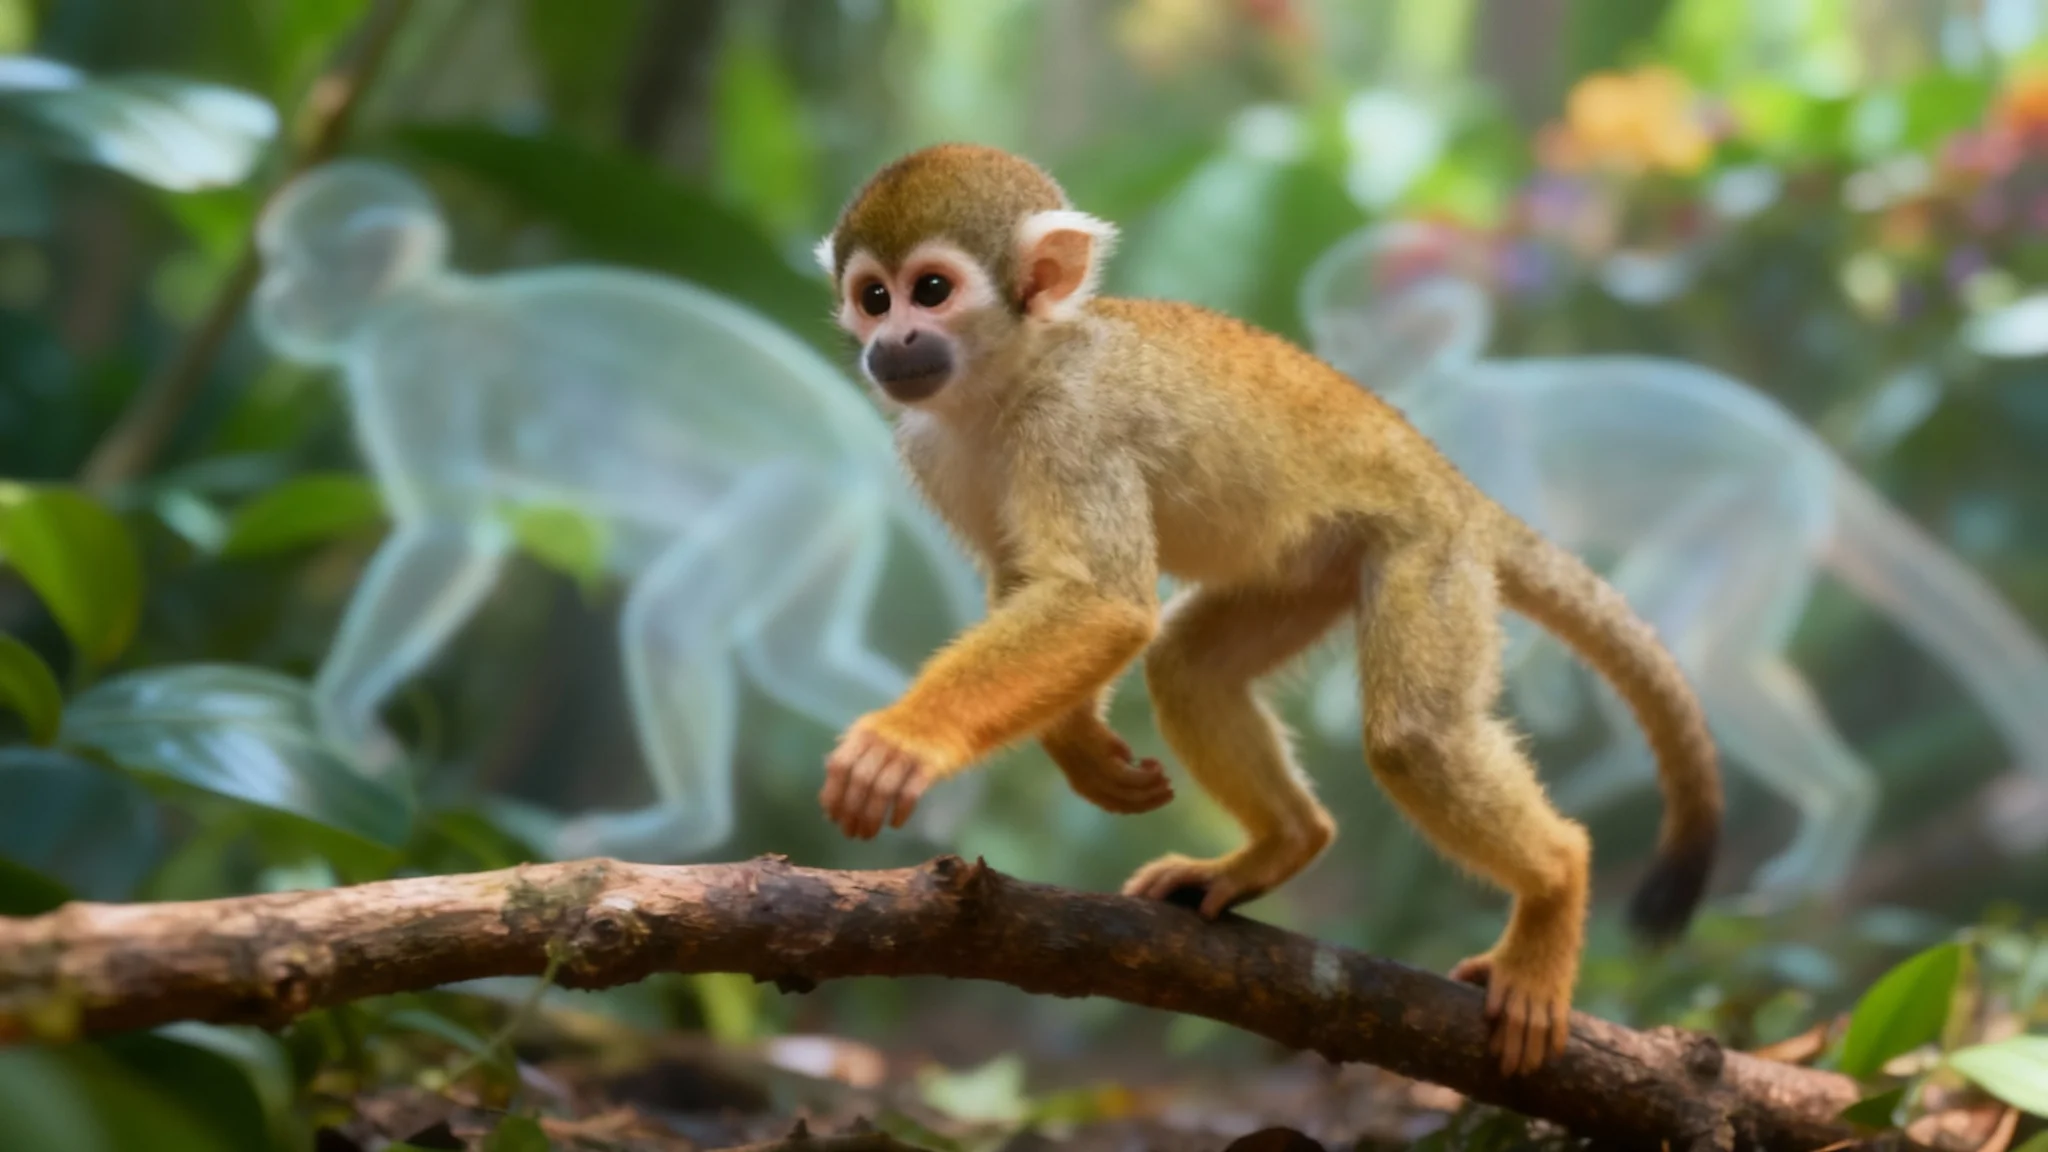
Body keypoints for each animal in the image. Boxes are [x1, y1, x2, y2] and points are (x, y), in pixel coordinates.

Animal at [808, 143, 1723, 1074]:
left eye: (931, 290)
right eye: (874, 297)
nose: (892, 341)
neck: (1010, 373)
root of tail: (1454, 485)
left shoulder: (1073, 425)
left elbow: (1102, 602)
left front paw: (904, 738)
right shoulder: (928, 447)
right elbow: (1033, 583)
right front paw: (1078, 747)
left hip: (1427, 553)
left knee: (1415, 739)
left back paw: (1554, 887)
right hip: (1311, 570)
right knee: (1190, 665)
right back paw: (1286, 841)